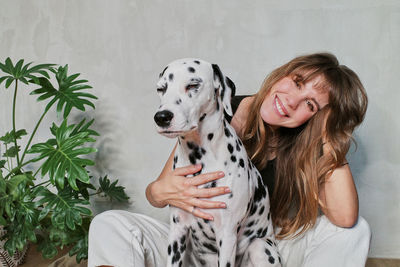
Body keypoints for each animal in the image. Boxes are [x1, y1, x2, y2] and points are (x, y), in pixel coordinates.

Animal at [153, 59, 282, 267]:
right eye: (161, 88)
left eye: (193, 85)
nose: (162, 117)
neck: (200, 157)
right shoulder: (177, 231)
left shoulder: (227, 234)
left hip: (260, 246)